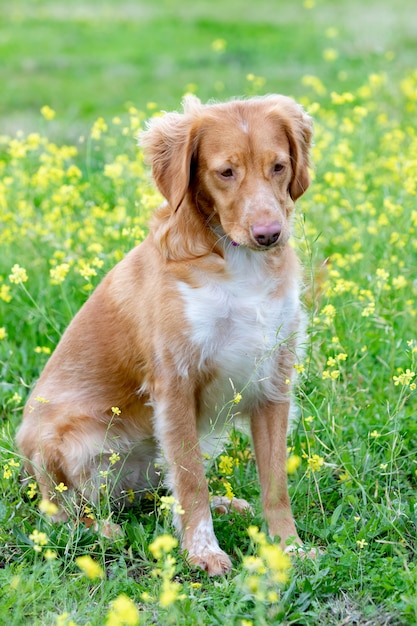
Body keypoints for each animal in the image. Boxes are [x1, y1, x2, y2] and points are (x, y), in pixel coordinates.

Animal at [16, 91, 312, 572]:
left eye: (279, 166)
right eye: (225, 172)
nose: (269, 234)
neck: (236, 262)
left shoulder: (273, 380)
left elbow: (275, 483)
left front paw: (288, 547)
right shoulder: (175, 383)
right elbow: (191, 482)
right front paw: (202, 553)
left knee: (156, 495)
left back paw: (226, 504)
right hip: (70, 441)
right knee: (61, 513)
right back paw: (102, 530)